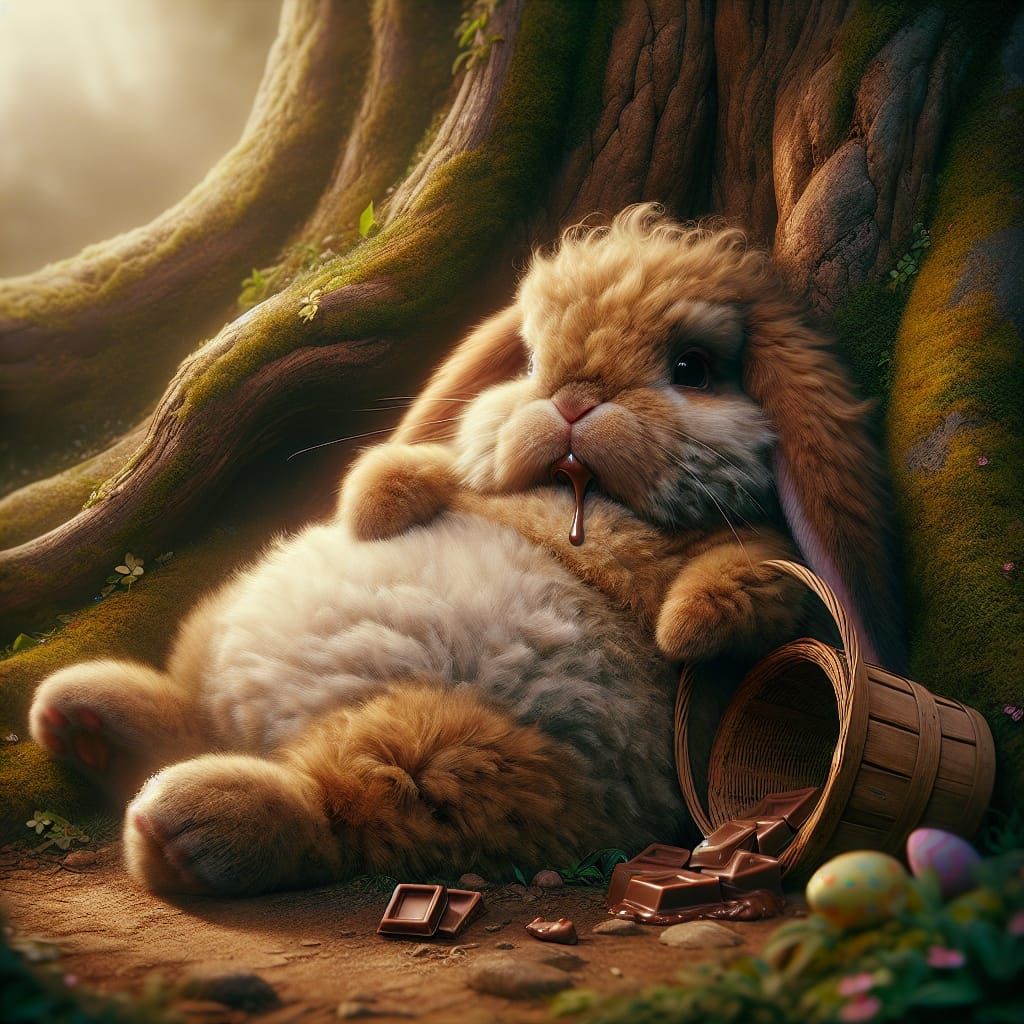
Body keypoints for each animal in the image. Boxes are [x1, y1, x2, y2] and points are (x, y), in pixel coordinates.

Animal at [28, 205, 903, 897]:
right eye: (530, 359)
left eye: (692, 368)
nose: (574, 400)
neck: (578, 499)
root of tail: (257, 728)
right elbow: (422, 473)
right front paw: (381, 496)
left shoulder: (744, 555)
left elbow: (750, 575)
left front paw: (684, 627)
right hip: (228, 632)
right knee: (194, 713)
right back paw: (83, 713)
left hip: (451, 754)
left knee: (334, 809)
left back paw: (183, 816)